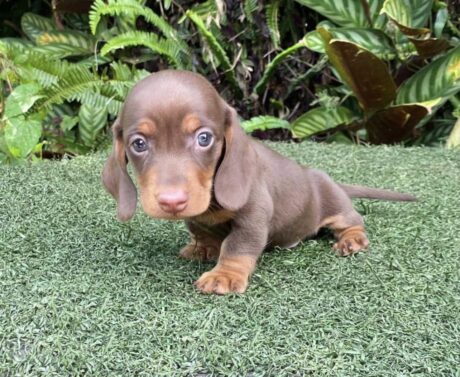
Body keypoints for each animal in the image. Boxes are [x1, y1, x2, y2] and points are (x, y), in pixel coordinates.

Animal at [101, 70, 416, 294]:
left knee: (353, 220)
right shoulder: (198, 216)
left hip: (335, 205)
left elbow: (237, 245)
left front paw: (224, 275)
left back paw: (351, 239)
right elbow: (200, 229)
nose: (172, 201)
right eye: (138, 144)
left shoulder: (254, 215)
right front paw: (203, 246)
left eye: (204, 138)